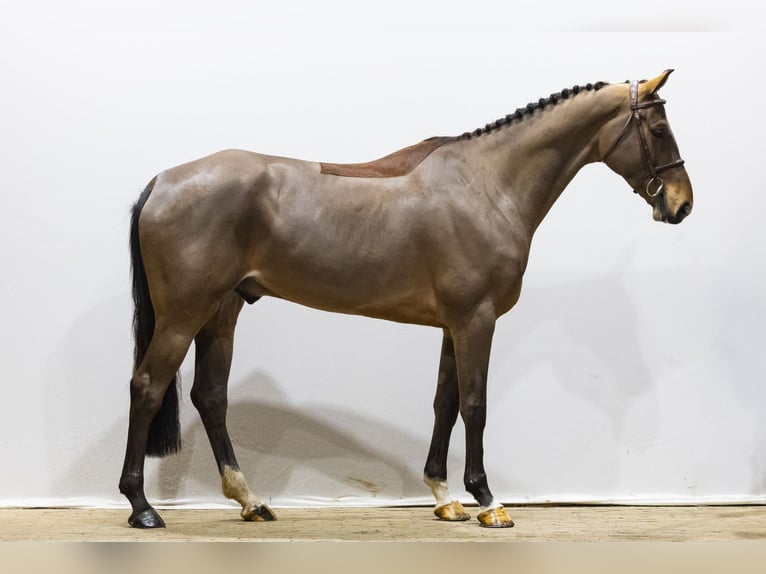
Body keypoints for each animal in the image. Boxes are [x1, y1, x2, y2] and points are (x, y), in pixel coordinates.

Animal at [119, 69, 692, 529]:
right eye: (659, 130)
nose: (682, 204)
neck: (487, 185)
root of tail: (163, 181)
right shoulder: (477, 320)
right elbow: (475, 405)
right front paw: (487, 502)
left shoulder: (453, 325)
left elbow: (444, 402)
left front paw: (444, 497)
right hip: (183, 314)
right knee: (147, 387)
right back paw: (142, 508)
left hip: (222, 312)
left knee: (210, 397)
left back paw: (250, 502)